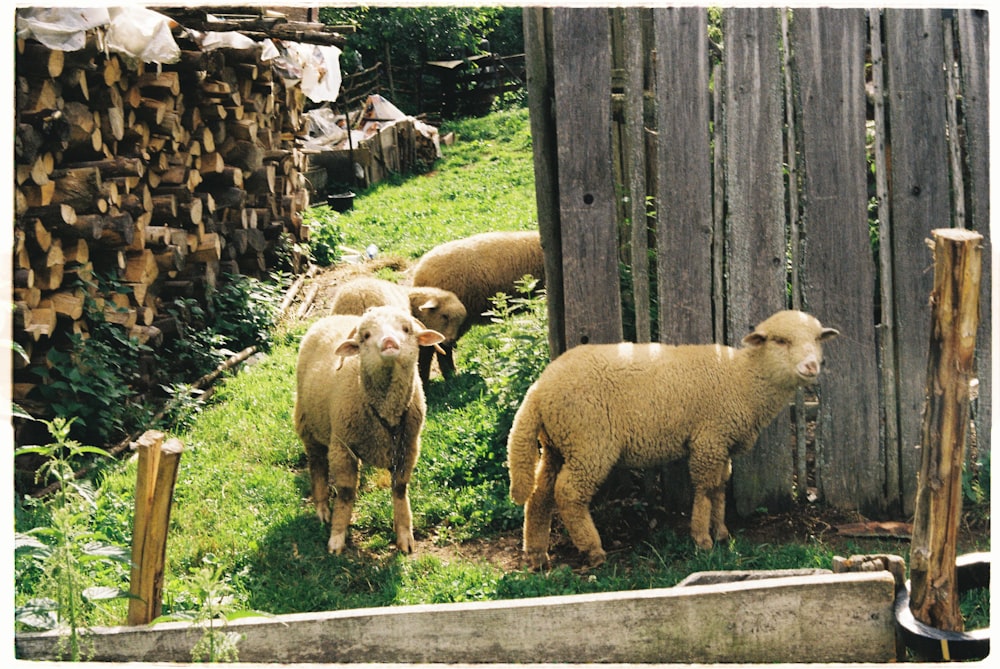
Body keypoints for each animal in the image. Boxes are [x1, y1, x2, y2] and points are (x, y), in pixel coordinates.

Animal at [292, 306, 444, 552]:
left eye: (406, 329)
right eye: (365, 336)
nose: (389, 341)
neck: (386, 413)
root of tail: (334, 317)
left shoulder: (407, 447)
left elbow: (400, 489)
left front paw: (404, 533)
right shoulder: (342, 447)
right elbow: (345, 493)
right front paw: (337, 537)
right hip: (309, 425)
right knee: (317, 466)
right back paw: (322, 508)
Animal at [504, 310, 840, 568]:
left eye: (816, 340)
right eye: (781, 341)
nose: (811, 366)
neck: (743, 379)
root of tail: (539, 388)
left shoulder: (721, 443)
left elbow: (720, 488)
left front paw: (721, 532)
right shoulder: (708, 438)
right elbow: (705, 489)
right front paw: (702, 539)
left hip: (557, 444)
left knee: (539, 493)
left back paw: (536, 553)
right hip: (590, 442)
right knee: (568, 493)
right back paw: (593, 550)